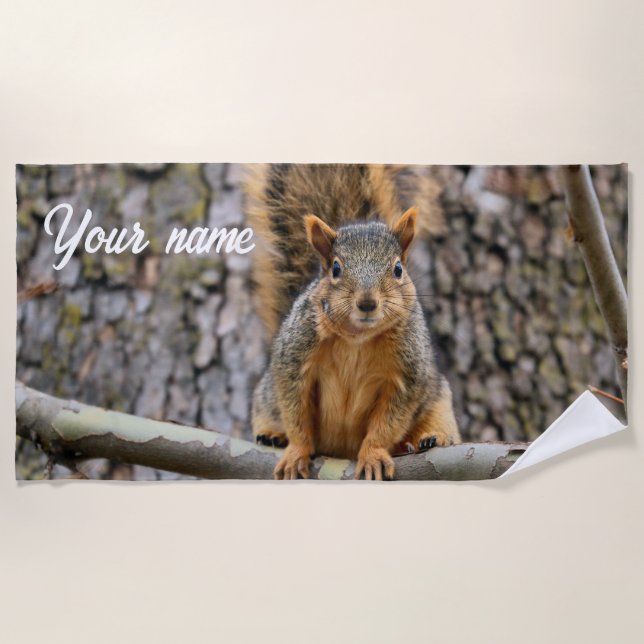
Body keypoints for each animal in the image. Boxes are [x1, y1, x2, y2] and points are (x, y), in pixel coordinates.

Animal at [245, 164, 461, 480]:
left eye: (398, 269)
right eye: (336, 268)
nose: (367, 303)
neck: (357, 336)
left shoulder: (407, 375)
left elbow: (387, 423)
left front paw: (373, 455)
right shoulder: (295, 357)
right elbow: (296, 412)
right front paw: (296, 451)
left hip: (438, 399)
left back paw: (429, 438)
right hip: (265, 397)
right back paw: (273, 435)